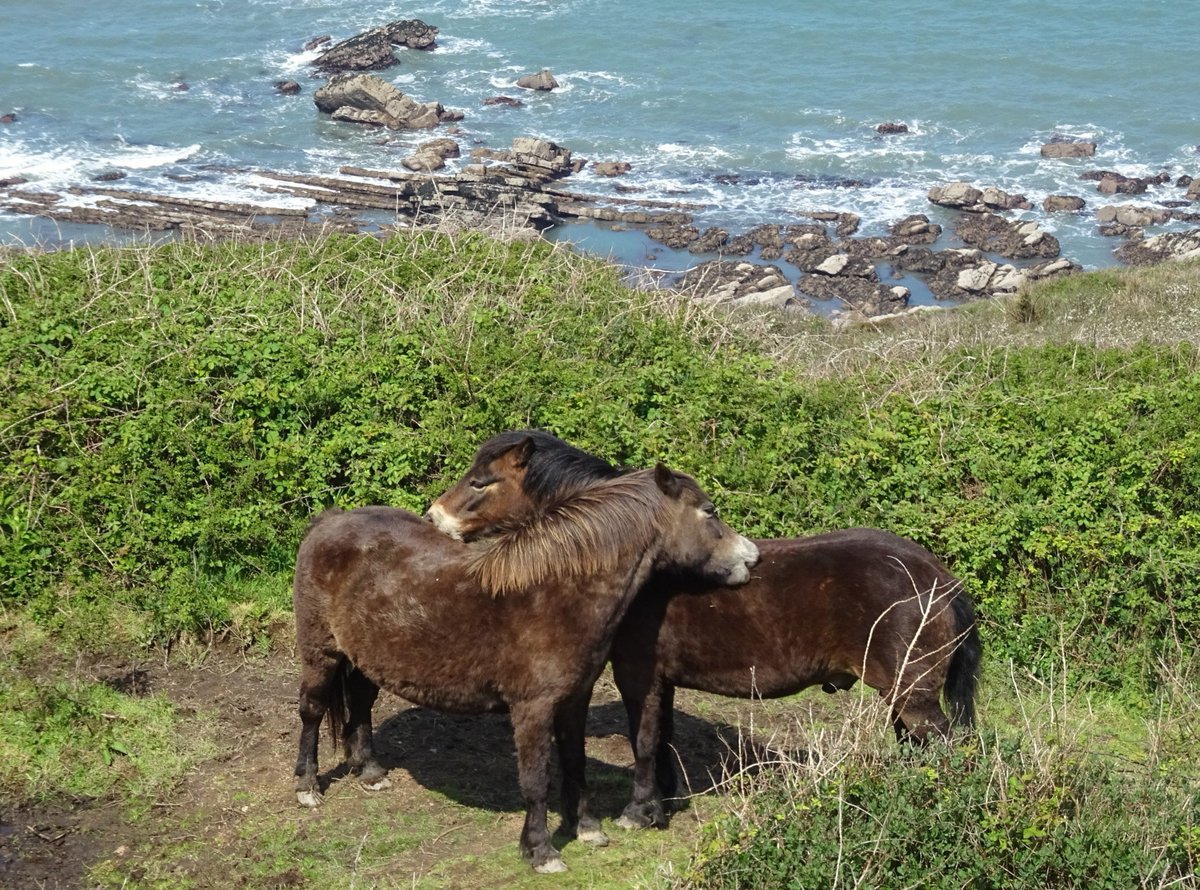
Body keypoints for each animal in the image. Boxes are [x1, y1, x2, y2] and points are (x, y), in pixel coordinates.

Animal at [292, 462, 760, 873]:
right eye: (709, 511)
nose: (751, 558)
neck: (556, 595)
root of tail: (330, 522)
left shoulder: (575, 697)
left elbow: (574, 761)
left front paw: (586, 828)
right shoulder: (532, 708)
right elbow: (535, 780)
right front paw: (541, 851)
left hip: (366, 659)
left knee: (361, 704)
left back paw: (369, 771)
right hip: (320, 652)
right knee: (312, 711)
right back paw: (307, 787)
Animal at [426, 430, 982, 830]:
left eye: (481, 482)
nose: (434, 518)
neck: (644, 564)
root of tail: (938, 577)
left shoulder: (638, 673)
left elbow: (645, 739)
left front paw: (639, 811)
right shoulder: (661, 679)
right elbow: (662, 737)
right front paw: (663, 802)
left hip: (913, 694)